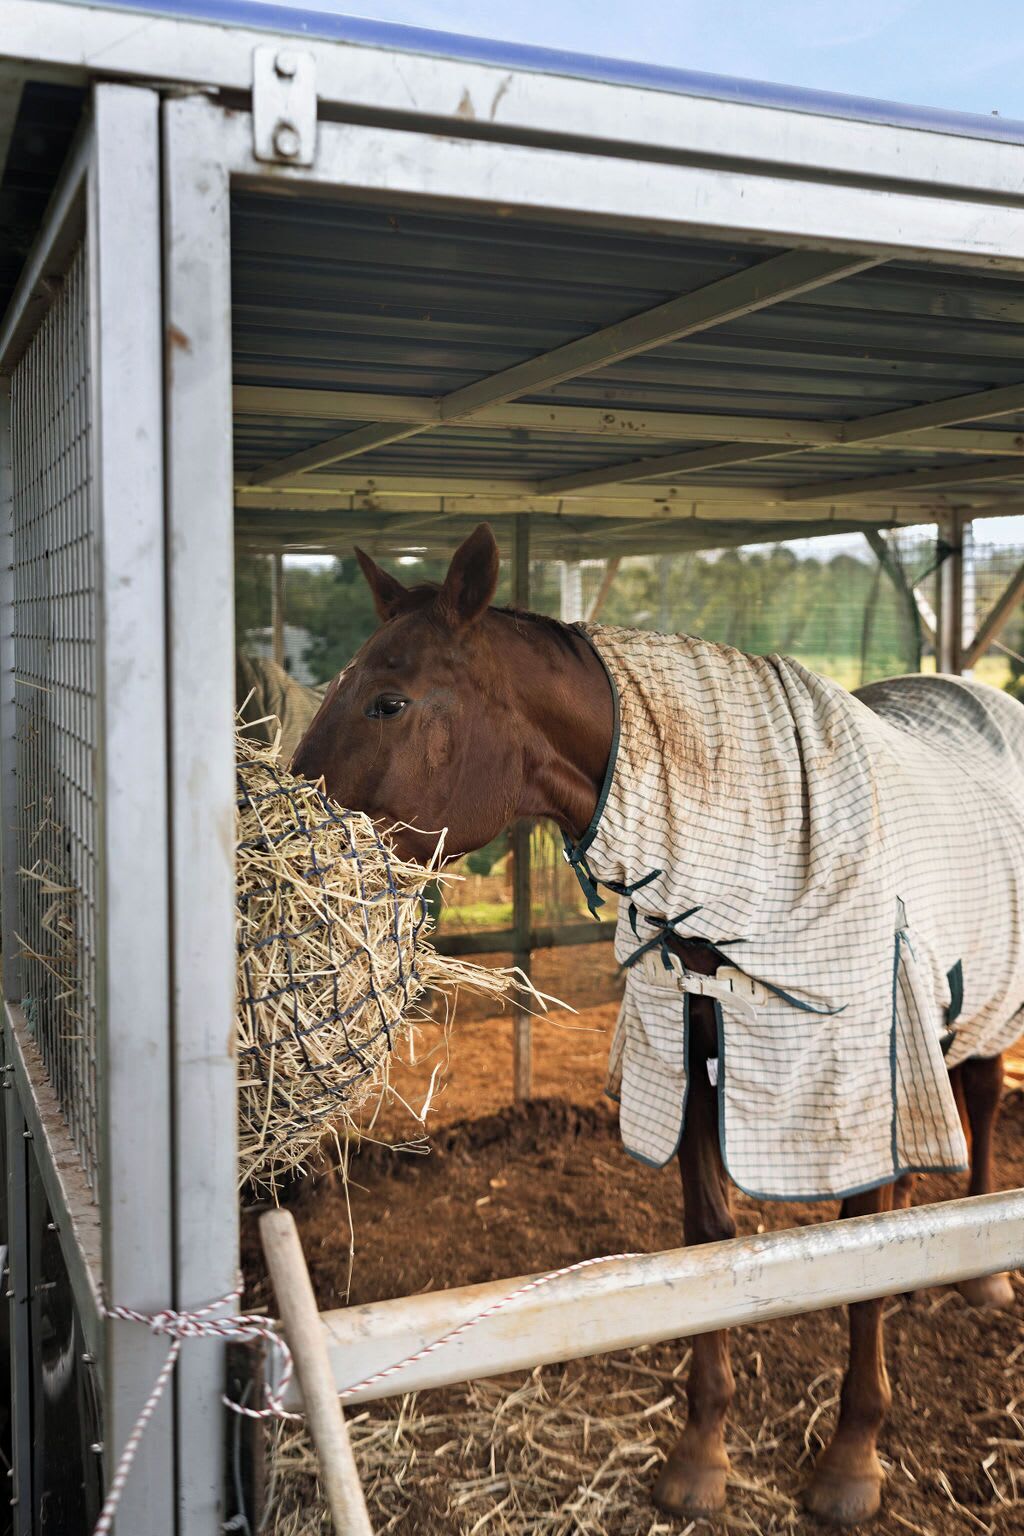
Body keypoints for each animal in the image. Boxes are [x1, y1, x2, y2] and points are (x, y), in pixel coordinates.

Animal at [292, 522, 1019, 1527]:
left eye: (388, 701)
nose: (276, 831)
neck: (757, 849)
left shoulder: (857, 1078)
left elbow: (864, 1244)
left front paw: (850, 1462)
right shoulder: (692, 1057)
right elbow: (706, 1245)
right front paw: (701, 1454)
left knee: (982, 1092)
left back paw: (983, 1269)